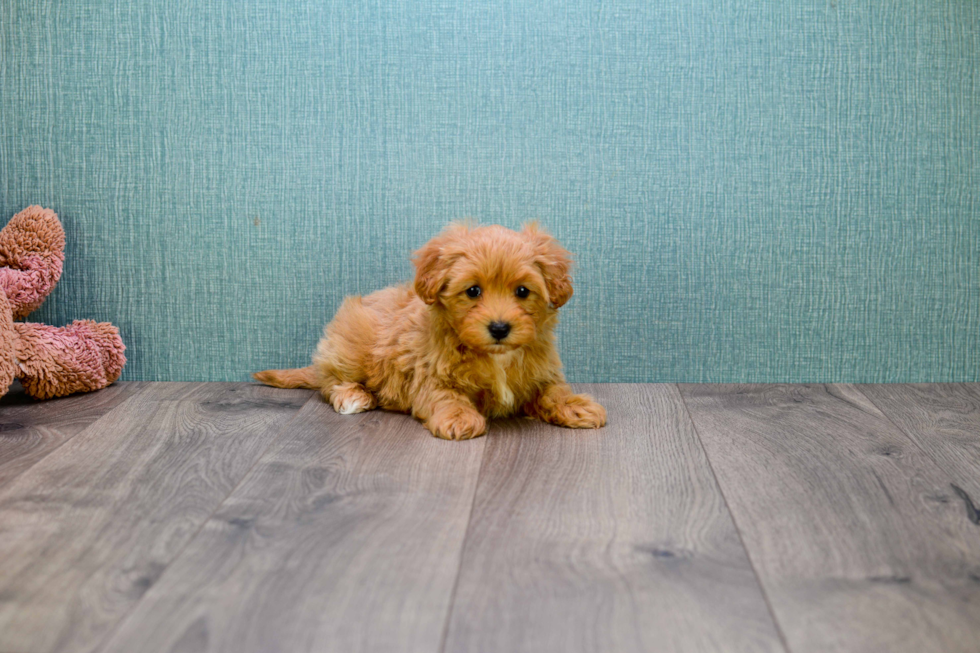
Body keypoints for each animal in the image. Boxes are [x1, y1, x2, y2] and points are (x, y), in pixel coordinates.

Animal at [253, 222, 604, 440]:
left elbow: (554, 391)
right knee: (329, 381)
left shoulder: (542, 373)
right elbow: (447, 396)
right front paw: (460, 417)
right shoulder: (431, 375)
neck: (496, 356)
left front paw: (576, 405)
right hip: (351, 345)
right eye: (473, 291)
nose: (500, 328)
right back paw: (352, 395)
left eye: (522, 291)